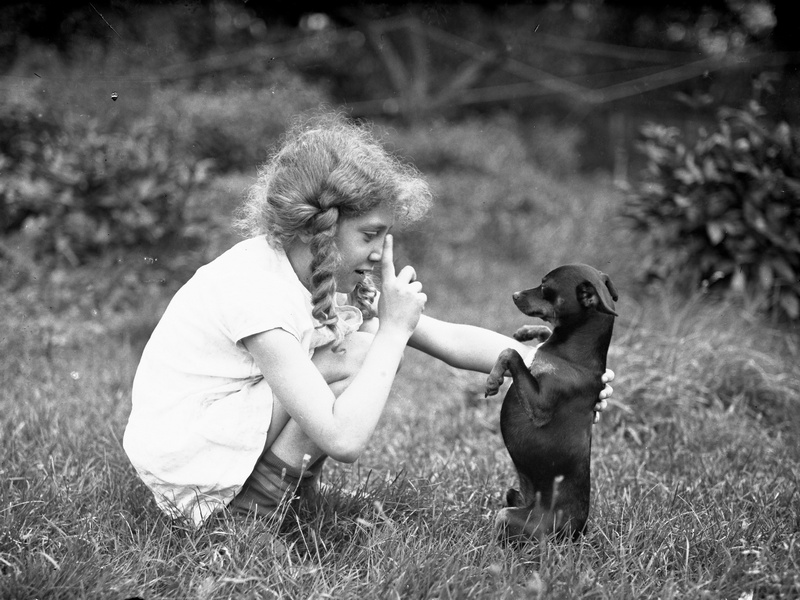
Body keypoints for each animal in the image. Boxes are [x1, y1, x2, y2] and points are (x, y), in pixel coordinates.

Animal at [485, 264, 618, 543]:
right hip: (514, 494)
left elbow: (510, 353)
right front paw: (526, 332)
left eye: (545, 288)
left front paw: (493, 379)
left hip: (510, 517)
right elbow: (541, 335)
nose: (514, 294)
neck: (573, 354)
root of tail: (574, 534)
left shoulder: (540, 407)